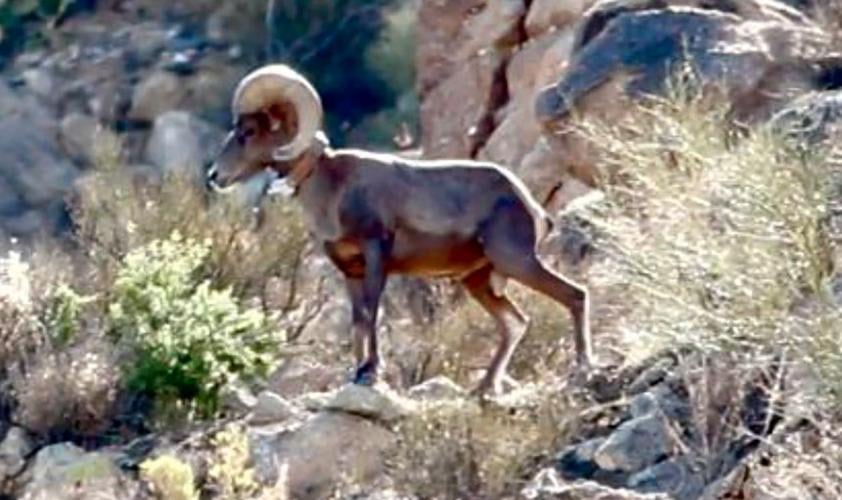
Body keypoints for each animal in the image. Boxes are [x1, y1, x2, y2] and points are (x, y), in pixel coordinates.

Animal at [206, 64, 593, 396]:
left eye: (248, 132)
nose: (214, 176)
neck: (331, 187)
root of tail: (529, 205)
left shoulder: (377, 253)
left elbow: (372, 313)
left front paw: (370, 372)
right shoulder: (350, 270)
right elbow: (358, 321)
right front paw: (357, 373)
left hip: (516, 261)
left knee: (575, 296)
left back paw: (583, 367)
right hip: (478, 281)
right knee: (515, 323)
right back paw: (483, 388)